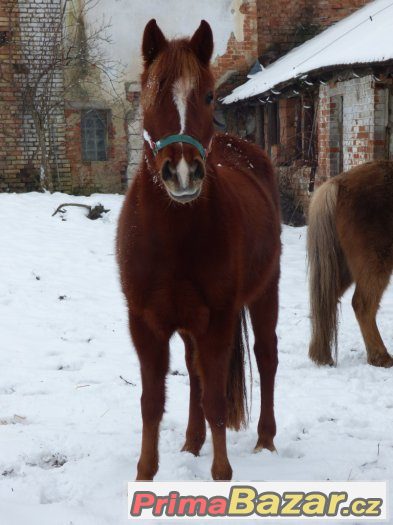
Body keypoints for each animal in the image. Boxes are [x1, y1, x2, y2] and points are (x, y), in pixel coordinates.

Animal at [116, 20, 278, 478]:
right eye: (152, 92)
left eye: (207, 95)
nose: (184, 173)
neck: (174, 235)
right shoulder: (145, 324)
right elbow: (152, 403)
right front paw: (145, 473)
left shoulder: (218, 320)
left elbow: (217, 400)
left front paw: (222, 475)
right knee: (193, 370)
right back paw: (192, 441)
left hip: (265, 292)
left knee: (266, 356)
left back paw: (265, 439)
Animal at [310, 160, 392, 368]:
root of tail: (339, 183)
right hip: (376, 262)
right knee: (363, 305)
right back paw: (380, 356)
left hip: (345, 268)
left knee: (326, 300)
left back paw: (322, 355)